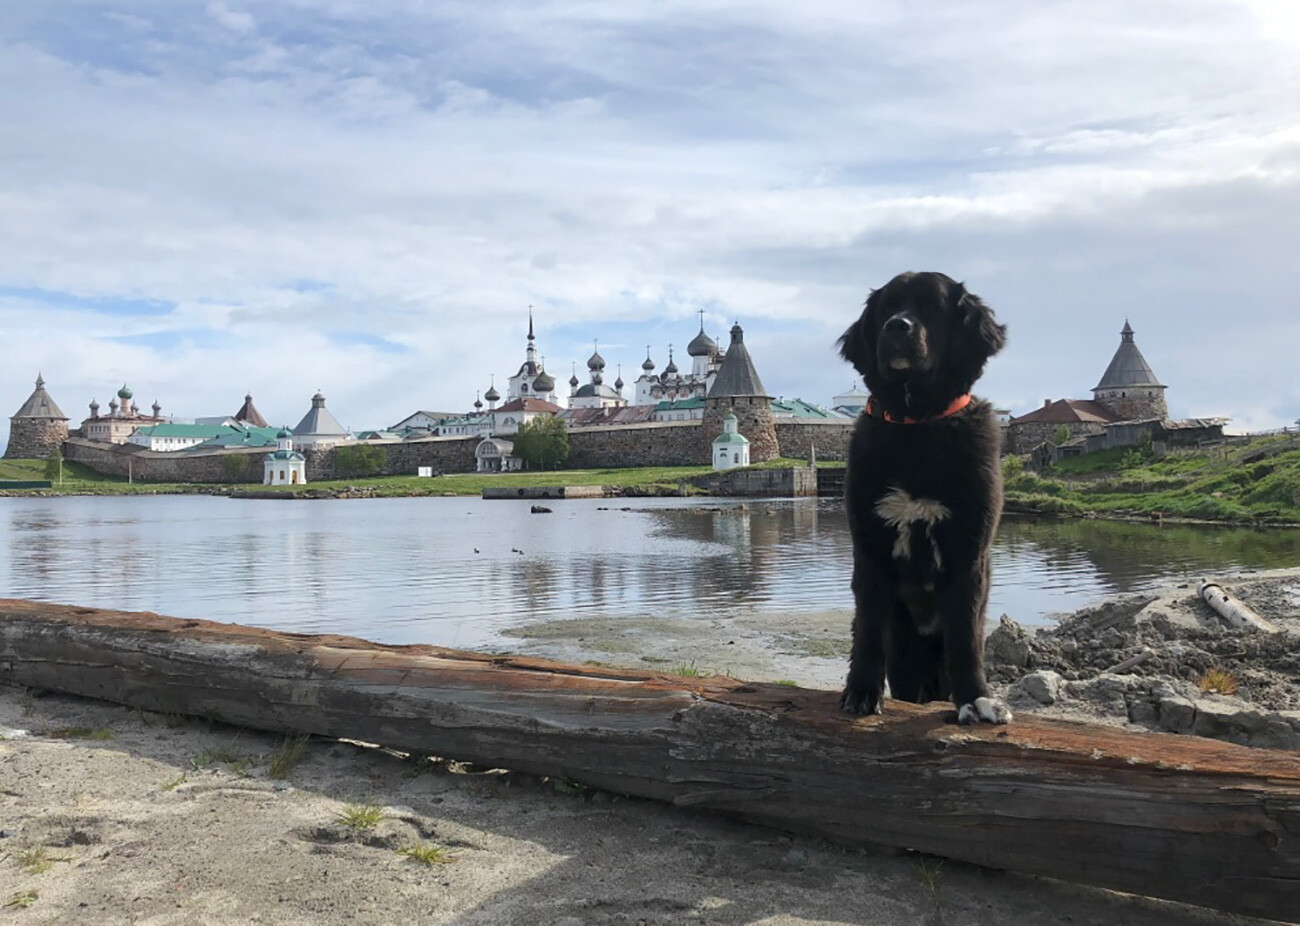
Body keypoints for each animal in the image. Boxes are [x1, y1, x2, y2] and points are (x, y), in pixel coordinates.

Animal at [837, 271, 1008, 717]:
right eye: (886, 308)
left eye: (932, 308)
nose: (897, 326)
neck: (916, 426)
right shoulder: (871, 547)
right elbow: (869, 629)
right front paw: (861, 692)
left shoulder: (968, 550)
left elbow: (965, 636)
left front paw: (977, 699)